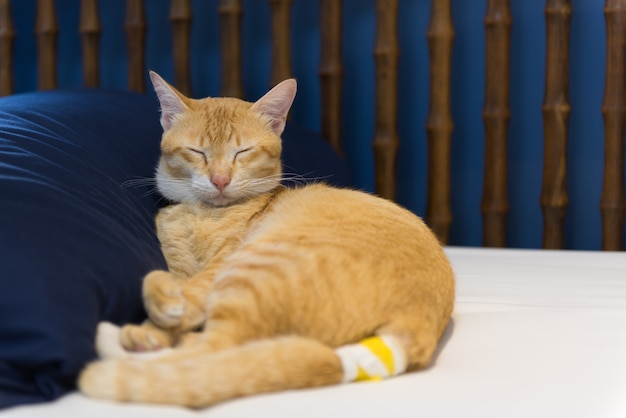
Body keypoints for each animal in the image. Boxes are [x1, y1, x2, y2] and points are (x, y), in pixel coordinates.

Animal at [78, 72, 454, 408]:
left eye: (242, 152)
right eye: (197, 152)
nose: (219, 180)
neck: (203, 215)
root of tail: (416, 322)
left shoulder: (218, 266)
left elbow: (174, 289)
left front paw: (156, 319)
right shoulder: (180, 266)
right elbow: (168, 281)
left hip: (252, 269)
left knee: (211, 353)